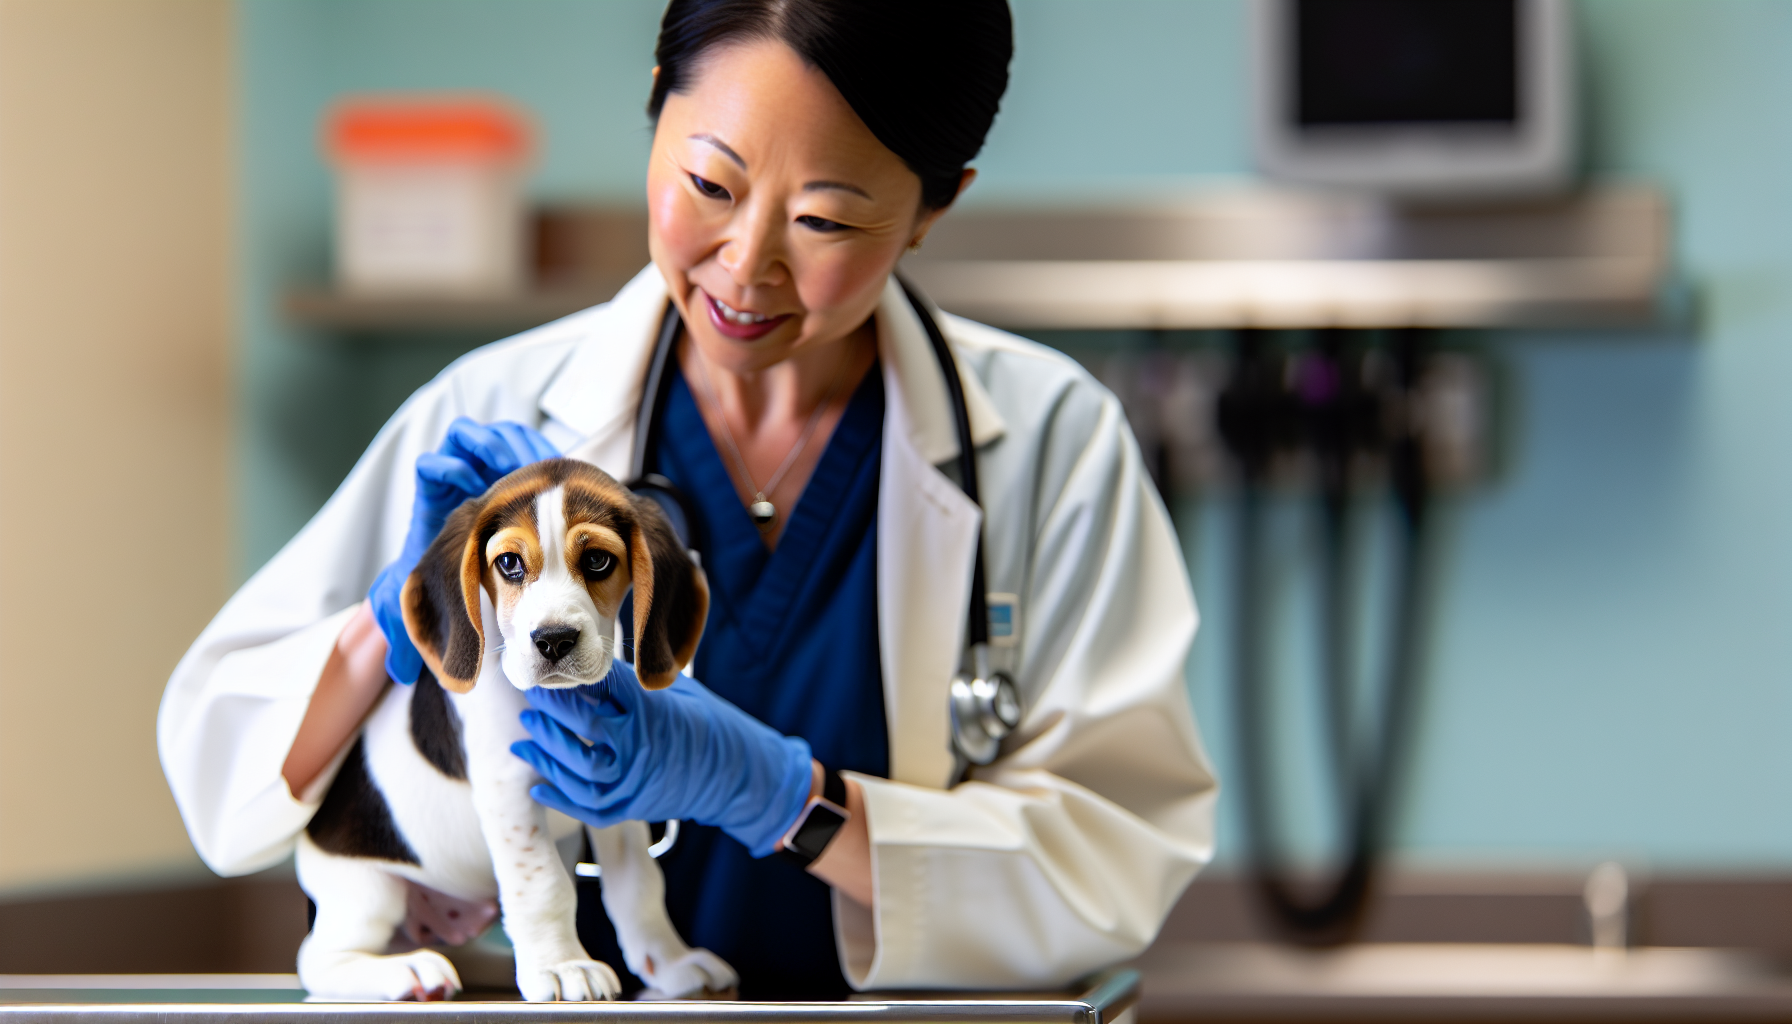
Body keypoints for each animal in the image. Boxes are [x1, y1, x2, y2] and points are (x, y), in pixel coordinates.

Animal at [293, 459, 734, 1004]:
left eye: (598, 560)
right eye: (509, 564)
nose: (553, 640)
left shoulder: (615, 796)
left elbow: (640, 886)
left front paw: (669, 963)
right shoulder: (510, 792)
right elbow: (544, 884)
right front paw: (563, 966)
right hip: (367, 892)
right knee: (318, 958)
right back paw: (405, 971)